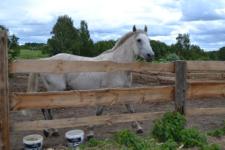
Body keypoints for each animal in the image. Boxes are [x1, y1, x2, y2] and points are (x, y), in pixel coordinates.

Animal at [26, 25, 155, 138]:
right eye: (139, 40)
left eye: (148, 40)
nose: (151, 55)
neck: (116, 66)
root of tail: (45, 60)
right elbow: (99, 113)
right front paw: (90, 133)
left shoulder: (124, 91)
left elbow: (131, 109)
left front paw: (138, 128)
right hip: (56, 90)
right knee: (47, 108)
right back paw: (51, 131)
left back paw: (50, 131)